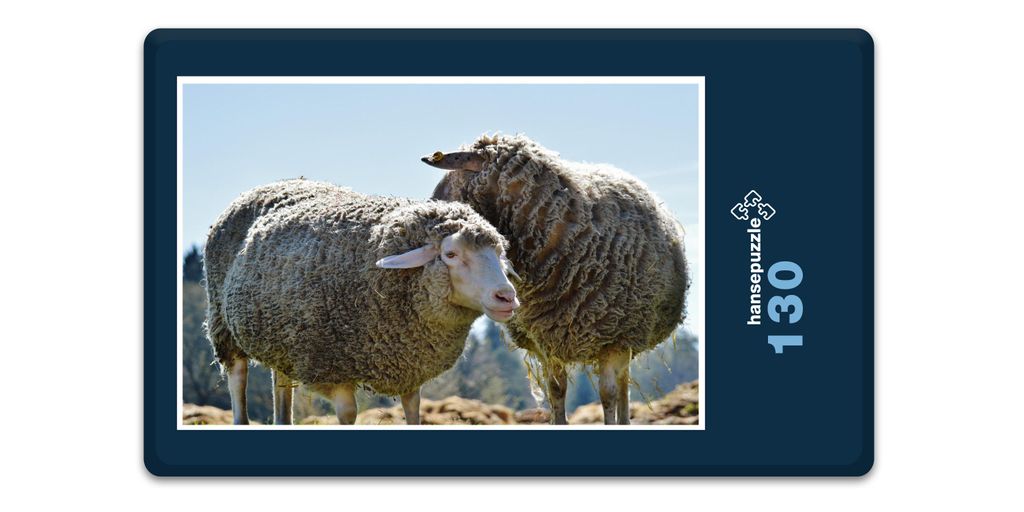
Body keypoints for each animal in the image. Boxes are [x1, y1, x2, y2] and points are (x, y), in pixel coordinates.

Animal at [203, 179, 520, 425]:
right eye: (450, 254)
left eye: (499, 253)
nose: (507, 296)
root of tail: (263, 186)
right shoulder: (333, 367)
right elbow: (348, 414)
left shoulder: (408, 365)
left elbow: (413, 410)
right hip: (222, 323)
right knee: (237, 379)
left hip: (279, 338)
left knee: (281, 390)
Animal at [422, 134, 689, 425]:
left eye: (448, 183)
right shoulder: (548, 342)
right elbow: (556, 390)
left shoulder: (614, 338)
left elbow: (608, 394)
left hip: (629, 334)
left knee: (621, 385)